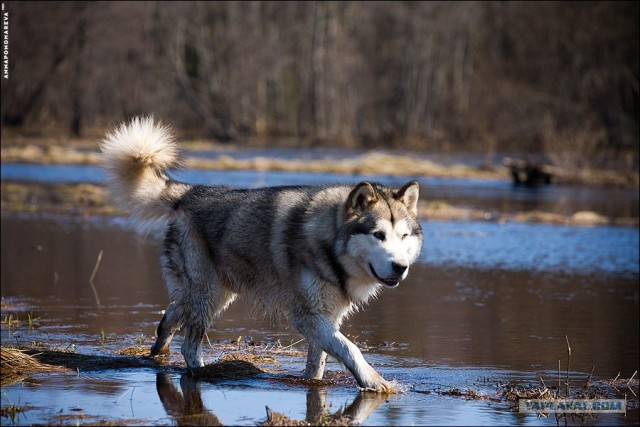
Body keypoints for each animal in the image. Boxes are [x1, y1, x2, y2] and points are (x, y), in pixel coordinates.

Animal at [100, 116, 422, 392]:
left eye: (403, 236)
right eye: (378, 235)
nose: (400, 267)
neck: (329, 246)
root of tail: (190, 193)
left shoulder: (326, 317)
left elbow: (319, 360)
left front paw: (311, 381)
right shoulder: (307, 316)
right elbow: (350, 347)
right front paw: (375, 381)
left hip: (214, 294)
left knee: (170, 315)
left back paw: (158, 351)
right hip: (208, 294)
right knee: (188, 345)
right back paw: (206, 371)